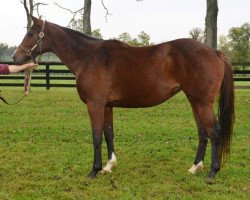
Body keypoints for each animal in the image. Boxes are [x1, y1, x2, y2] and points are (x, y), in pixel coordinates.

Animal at [12, 15, 234, 178]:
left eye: (30, 33)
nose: (15, 57)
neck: (89, 58)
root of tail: (215, 52)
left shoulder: (95, 104)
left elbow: (96, 136)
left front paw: (94, 170)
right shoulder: (107, 106)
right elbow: (108, 133)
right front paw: (109, 166)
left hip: (202, 103)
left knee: (214, 132)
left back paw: (212, 173)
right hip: (194, 100)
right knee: (203, 132)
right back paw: (195, 167)